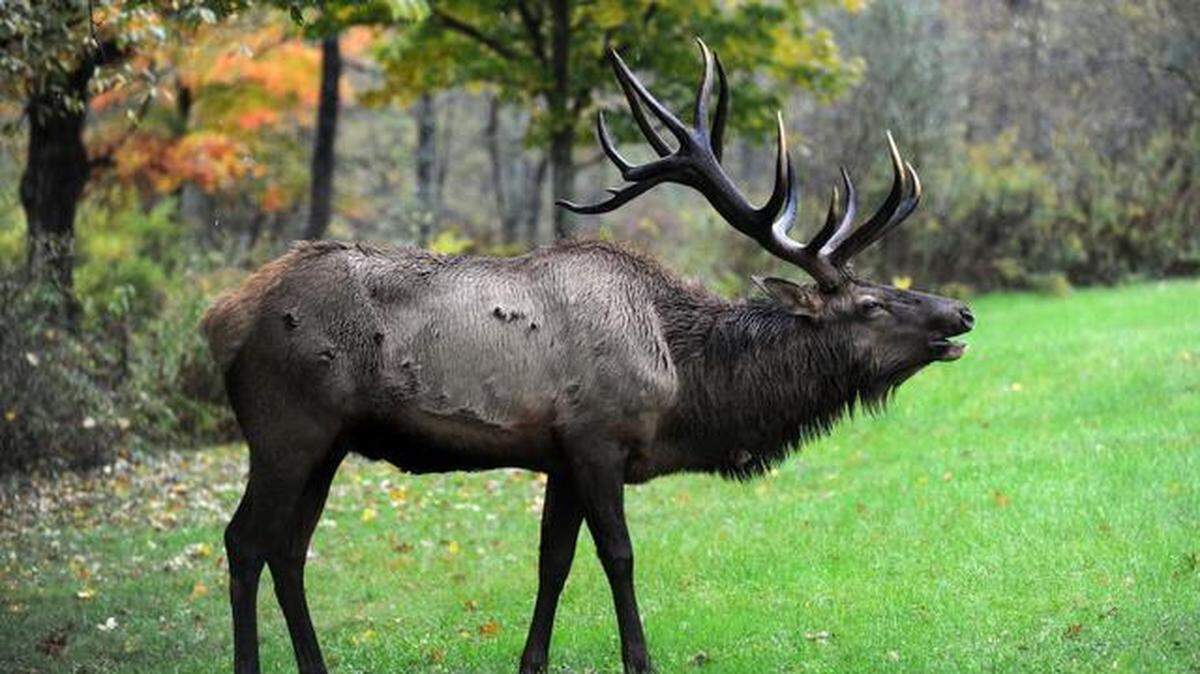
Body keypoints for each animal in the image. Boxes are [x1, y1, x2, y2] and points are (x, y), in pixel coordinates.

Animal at [202, 39, 973, 674]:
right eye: (870, 304)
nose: (960, 312)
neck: (686, 383)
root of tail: (220, 317)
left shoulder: (560, 454)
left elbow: (553, 563)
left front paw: (530, 661)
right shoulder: (598, 438)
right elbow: (619, 557)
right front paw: (641, 660)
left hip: (330, 443)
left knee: (289, 550)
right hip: (285, 427)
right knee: (245, 541)